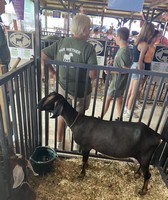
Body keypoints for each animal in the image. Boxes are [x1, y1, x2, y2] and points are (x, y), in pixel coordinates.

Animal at [36, 92, 164, 195]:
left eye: (50, 98)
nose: (37, 105)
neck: (78, 121)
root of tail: (157, 136)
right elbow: (86, 159)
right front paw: (86, 167)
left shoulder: (86, 146)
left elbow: (84, 160)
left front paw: (81, 174)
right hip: (142, 156)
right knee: (142, 168)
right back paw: (137, 174)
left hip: (145, 155)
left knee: (148, 175)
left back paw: (143, 191)